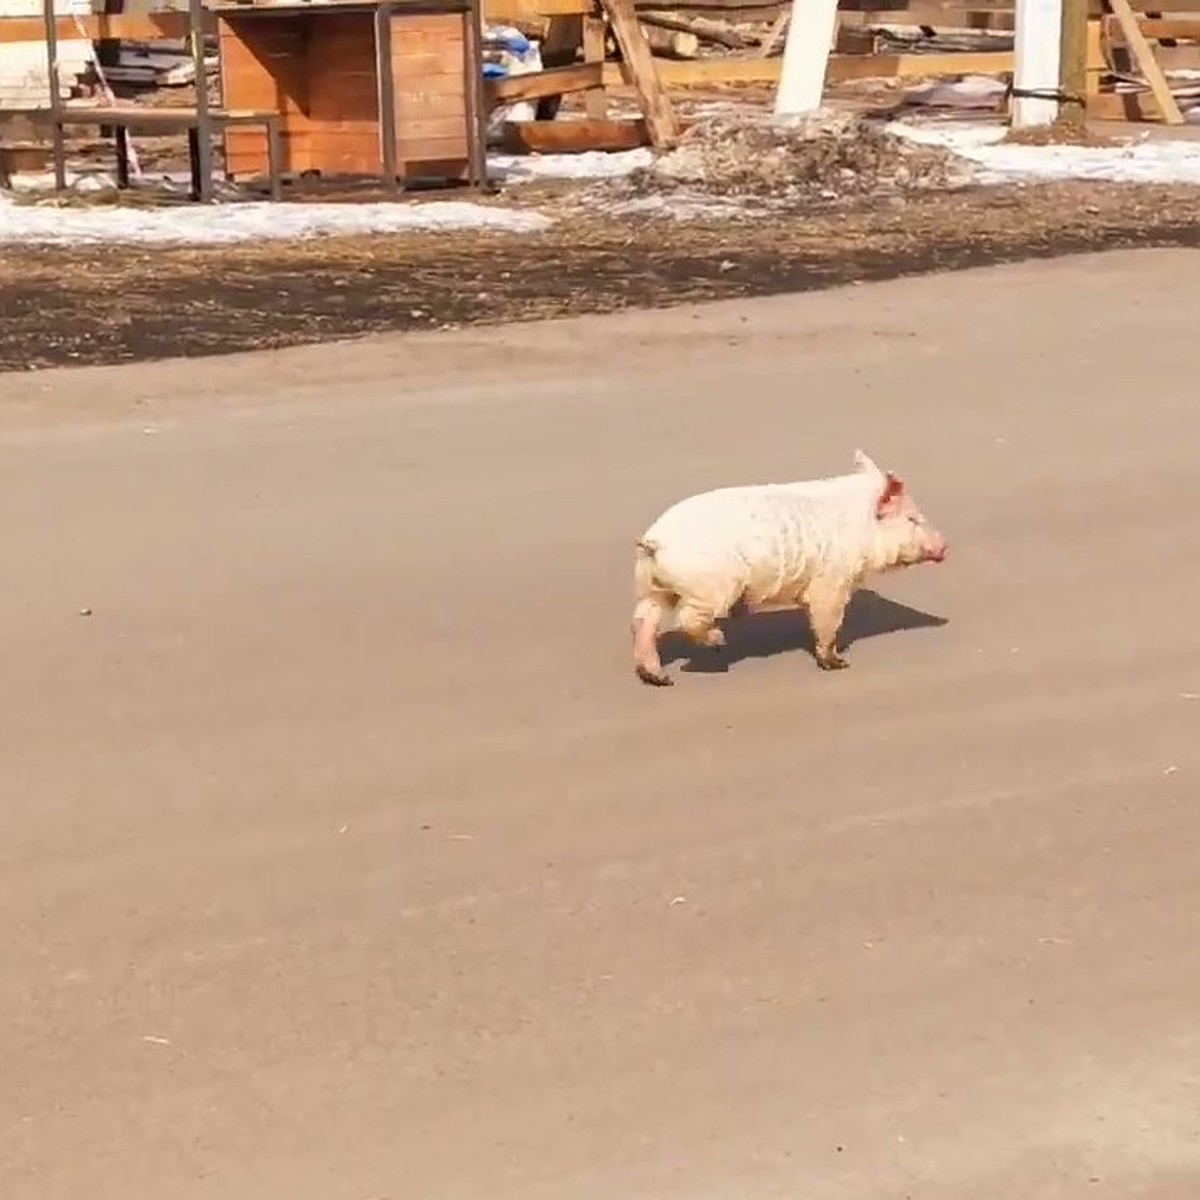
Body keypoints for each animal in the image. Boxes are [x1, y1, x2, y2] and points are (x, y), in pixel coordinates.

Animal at [628, 451, 945, 691]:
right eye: (912, 519)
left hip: (650, 586)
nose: (945, 546)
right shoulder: (831, 580)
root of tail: (656, 540)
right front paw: (839, 664)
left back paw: (659, 678)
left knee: (642, 621)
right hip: (709, 586)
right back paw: (718, 642)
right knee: (686, 619)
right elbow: (829, 621)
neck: (860, 525)